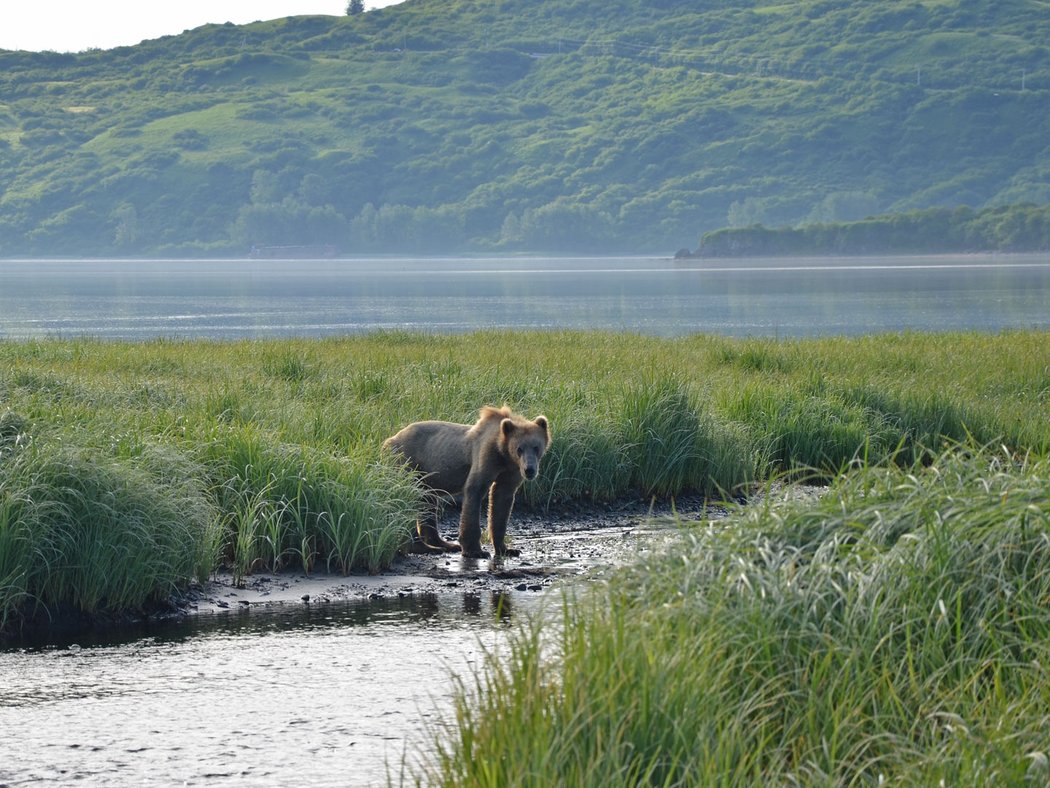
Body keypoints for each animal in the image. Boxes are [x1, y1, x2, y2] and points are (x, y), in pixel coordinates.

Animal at [384, 409, 550, 558]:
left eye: (536, 447)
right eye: (519, 449)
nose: (529, 470)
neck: (503, 453)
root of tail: (389, 439)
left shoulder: (511, 470)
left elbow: (501, 500)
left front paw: (507, 549)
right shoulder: (486, 456)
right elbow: (475, 490)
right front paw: (476, 551)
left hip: (425, 476)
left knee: (428, 502)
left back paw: (443, 544)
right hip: (407, 462)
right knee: (408, 500)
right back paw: (424, 547)